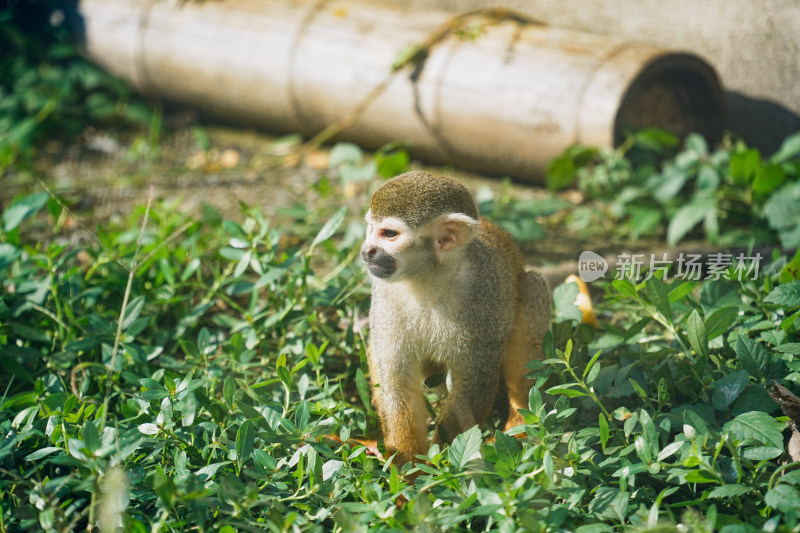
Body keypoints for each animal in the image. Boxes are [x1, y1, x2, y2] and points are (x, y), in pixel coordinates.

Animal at [360, 170, 552, 462]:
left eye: (389, 234)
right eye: (371, 229)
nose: (366, 250)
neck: (429, 278)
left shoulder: (483, 300)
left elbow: (475, 383)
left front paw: (441, 464)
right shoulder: (384, 294)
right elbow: (396, 383)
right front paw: (408, 464)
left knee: (533, 288)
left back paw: (521, 425)